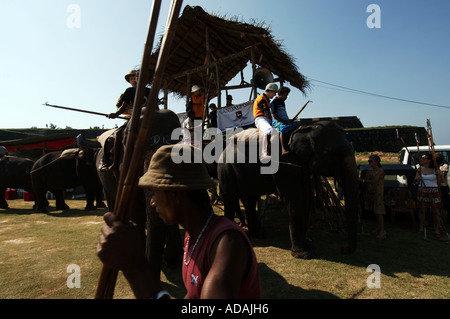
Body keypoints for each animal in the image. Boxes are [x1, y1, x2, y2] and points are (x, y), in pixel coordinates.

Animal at [218, 122, 358, 260]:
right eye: (336, 153)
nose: (343, 249)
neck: (304, 130)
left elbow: (307, 196)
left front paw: (308, 245)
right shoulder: (284, 164)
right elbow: (294, 199)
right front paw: (304, 255)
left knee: (250, 199)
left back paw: (259, 234)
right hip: (226, 171)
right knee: (230, 199)